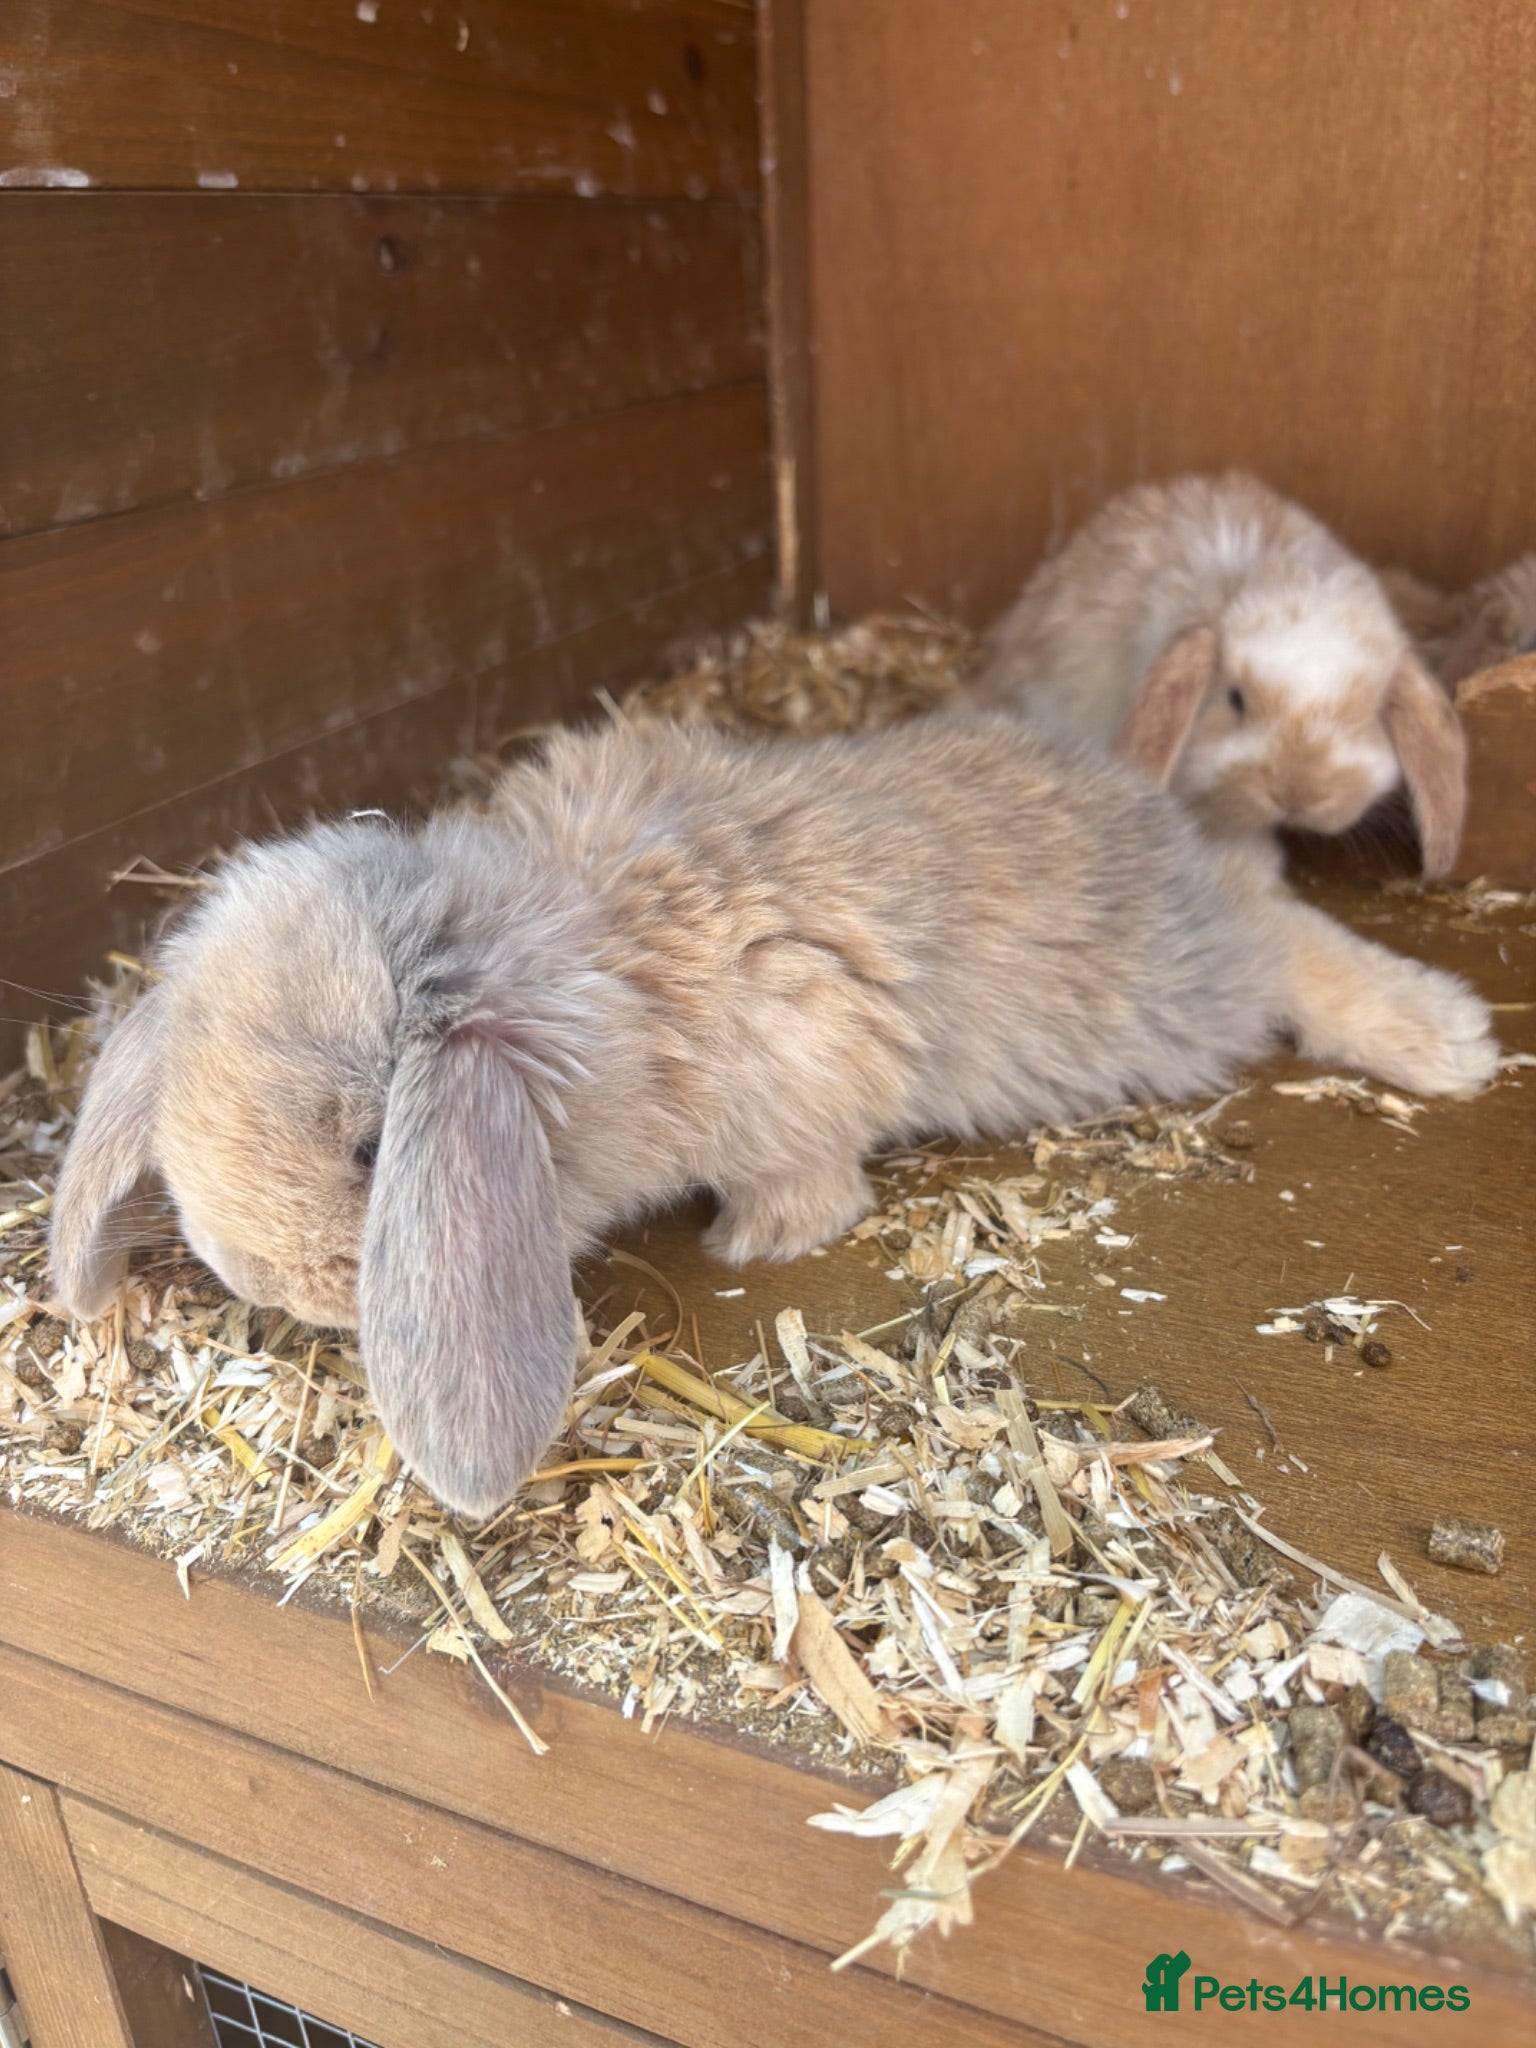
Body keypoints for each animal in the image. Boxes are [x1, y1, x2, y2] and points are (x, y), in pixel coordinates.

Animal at [49, 715, 1498, 1519]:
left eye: (368, 1146)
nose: (270, 1286)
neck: (560, 970)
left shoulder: (801, 1063)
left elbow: (810, 1177)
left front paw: (761, 1241)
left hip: (1183, 994)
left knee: (1283, 939)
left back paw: (1450, 1040)